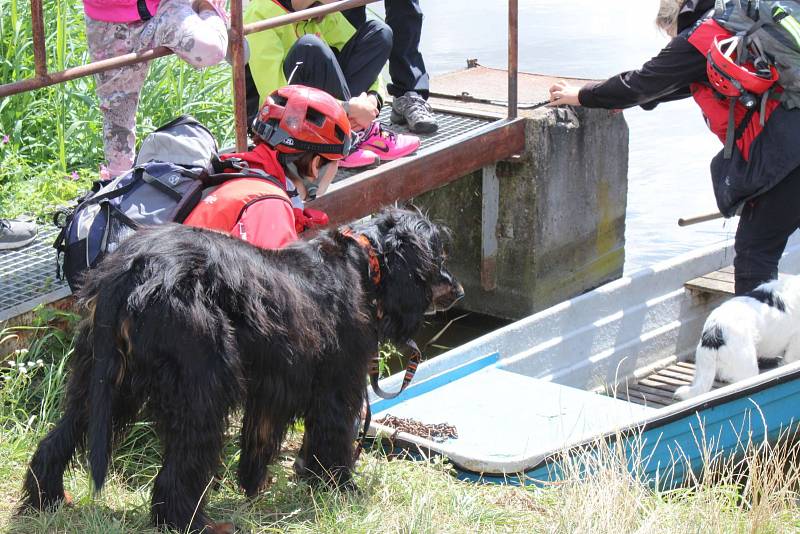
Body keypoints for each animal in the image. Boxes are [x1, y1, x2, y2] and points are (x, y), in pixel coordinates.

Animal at [20, 208, 462, 534]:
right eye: (437, 258)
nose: (457, 290)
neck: (364, 261)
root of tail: (134, 268)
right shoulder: (337, 383)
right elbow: (332, 439)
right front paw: (339, 488)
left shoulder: (274, 386)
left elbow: (261, 440)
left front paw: (259, 485)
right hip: (201, 385)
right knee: (178, 473)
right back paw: (193, 524)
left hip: (107, 381)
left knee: (59, 439)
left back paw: (47, 501)